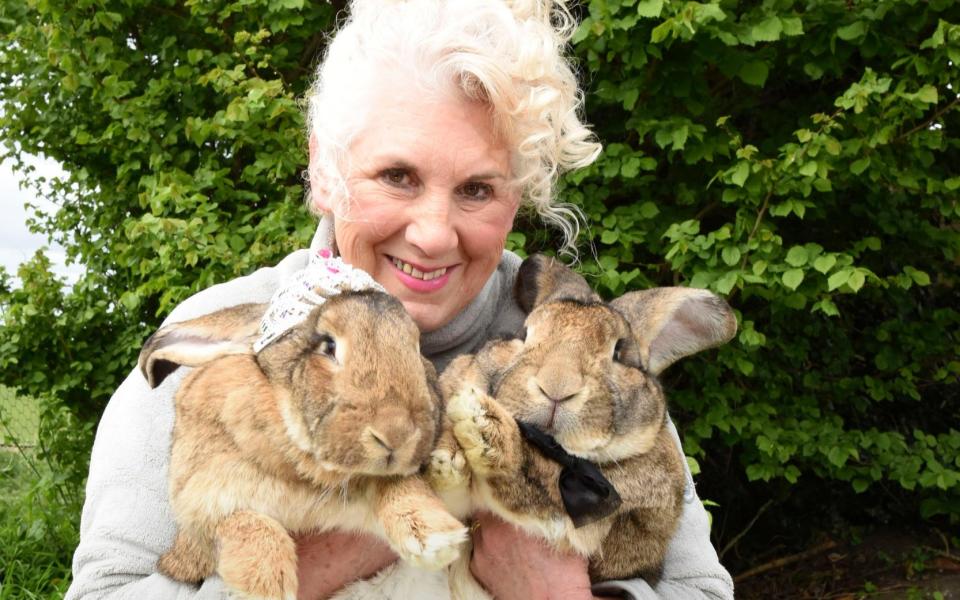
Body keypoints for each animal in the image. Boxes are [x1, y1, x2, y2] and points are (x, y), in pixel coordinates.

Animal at [142, 290, 468, 596]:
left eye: (416, 348)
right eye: (328, 345)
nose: (397, 434)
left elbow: (393, 483)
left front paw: (434, 536)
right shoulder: (198, 514)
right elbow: (240, 520)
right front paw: (266, 585)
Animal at [432, 254, 740, 596]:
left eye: (619, 352)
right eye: (523, 335)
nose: (556, 385)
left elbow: (536, 482)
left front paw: (479, 420)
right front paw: (448, 459)